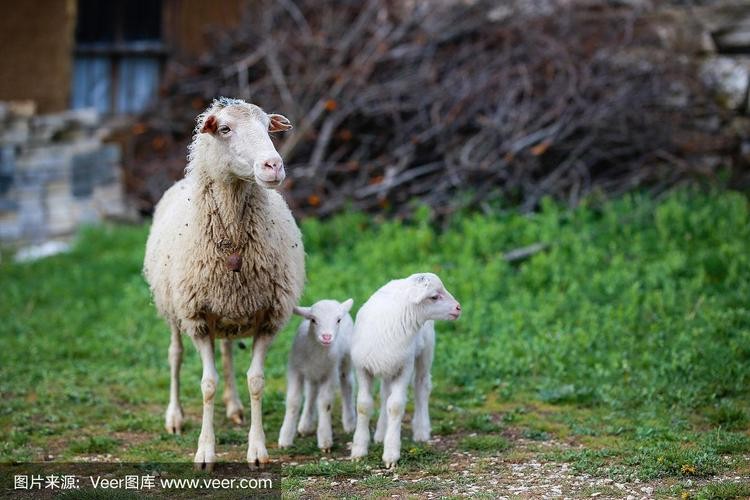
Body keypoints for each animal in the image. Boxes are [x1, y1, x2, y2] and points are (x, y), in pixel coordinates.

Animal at [142, 96, 304, 468]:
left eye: (268, 127)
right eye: (225, 129)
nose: (274, 165)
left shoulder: (269, 318)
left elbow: (255, 381)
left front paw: (257, 449)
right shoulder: (197, 318)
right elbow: (207, 384)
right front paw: (205, 451)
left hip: (230, 311)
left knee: (228, 353)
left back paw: (233, 408)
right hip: (173, 309)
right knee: (175, 355)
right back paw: (175, 417)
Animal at [280, 300, 358, 454]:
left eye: (338, 320)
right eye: (313, 320)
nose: (326, 337)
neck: (317, 352)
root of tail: (334, 300)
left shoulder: (330, 374)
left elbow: (325, 403)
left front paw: (325, 441)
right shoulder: (295, 371)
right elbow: (293, 401)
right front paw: (285, 439)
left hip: (346, 359)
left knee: (348, 385)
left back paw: (349, 422)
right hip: (312, 374)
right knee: (311, 393)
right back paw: (305, 425)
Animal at [350, 272, 462, 466]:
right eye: (434, 296)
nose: (458, 308)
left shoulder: (404, 367)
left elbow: (395, 406)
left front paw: (391, 454)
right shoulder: (362, 368)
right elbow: (364, 405)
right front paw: (359, 450)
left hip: (426, 351)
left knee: (421, 386)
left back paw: (421, 431)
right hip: (388, 364)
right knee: (384, 394)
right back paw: (381, 433)